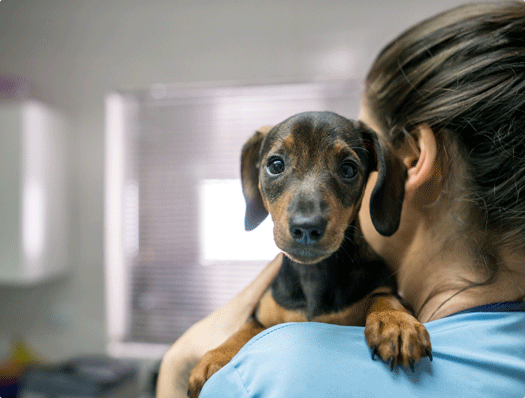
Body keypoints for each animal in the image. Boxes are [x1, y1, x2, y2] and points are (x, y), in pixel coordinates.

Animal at [187, 110, 430, 396]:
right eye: (275, 165)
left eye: (349, 169)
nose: (306, 227)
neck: (313, 277)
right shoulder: (261, 314)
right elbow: (245, 329)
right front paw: (216, 356)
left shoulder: (382, 286)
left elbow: (385, 298)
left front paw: (397, 324)